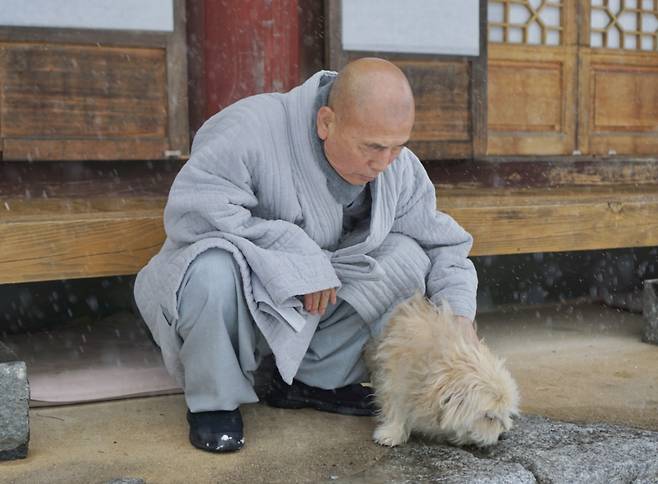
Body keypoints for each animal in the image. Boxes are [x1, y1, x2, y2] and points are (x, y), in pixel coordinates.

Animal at [366, 294, 516, 448]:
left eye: (506, 413)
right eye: (489, 417)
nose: (503, 435)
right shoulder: (393, 379)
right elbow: (395, 407)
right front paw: (392, 433)